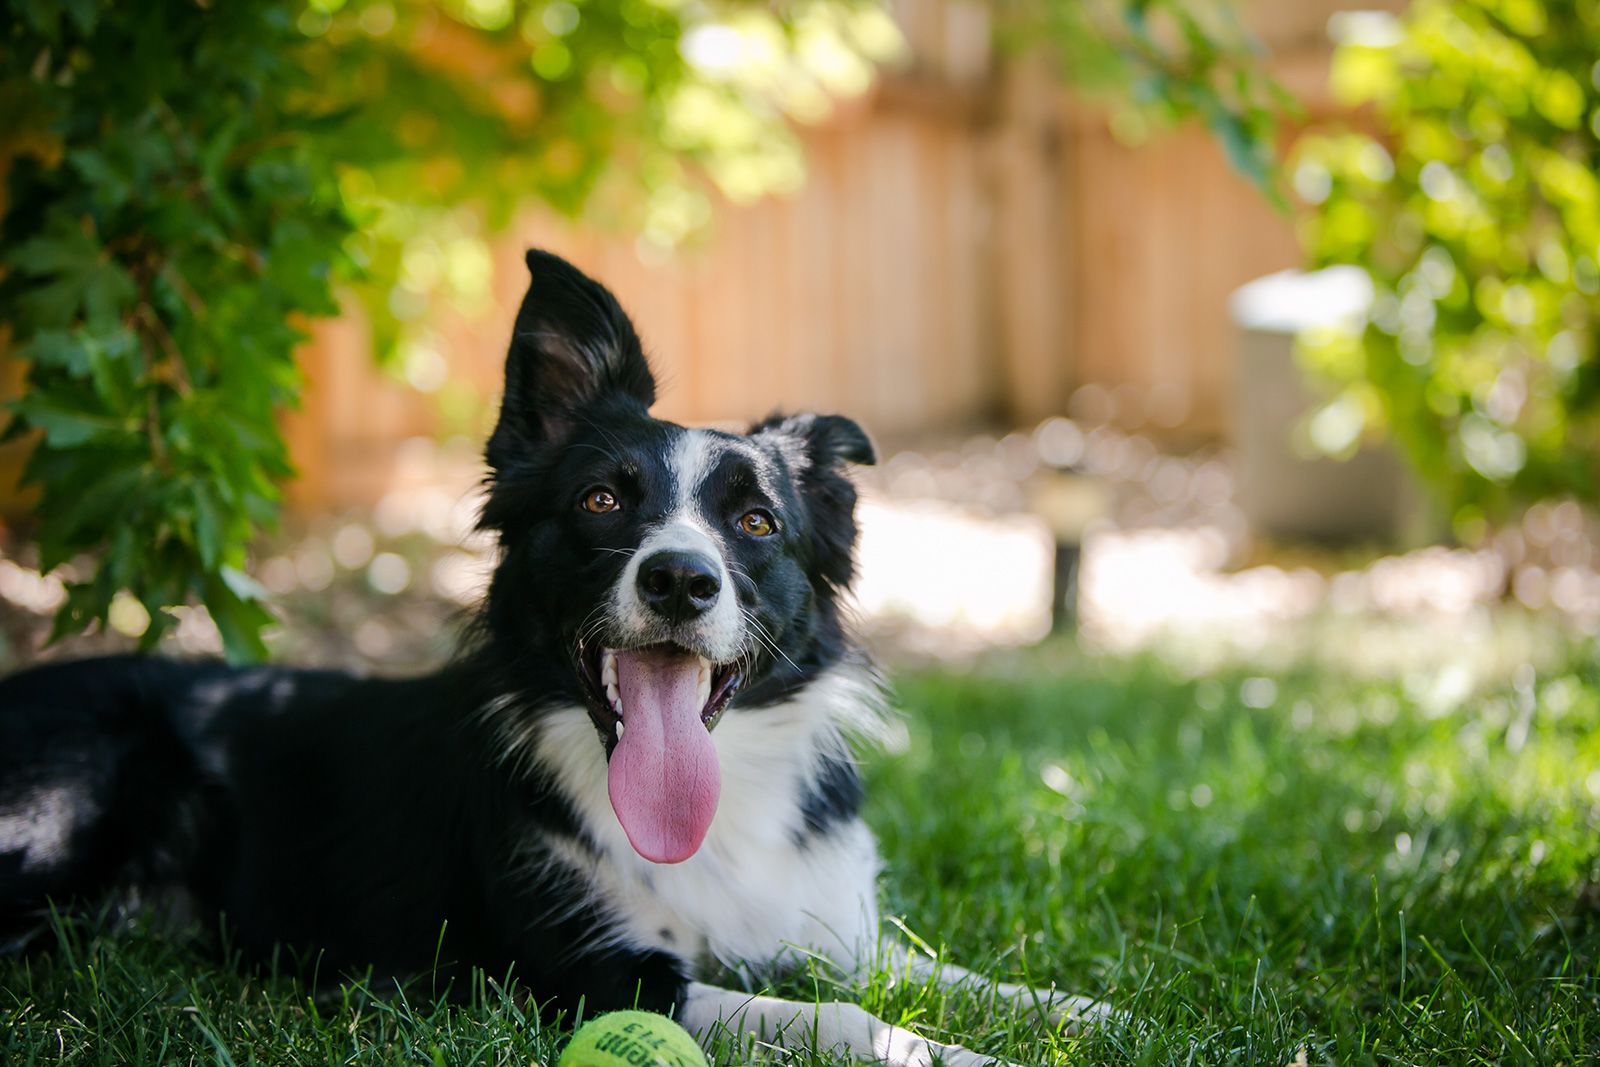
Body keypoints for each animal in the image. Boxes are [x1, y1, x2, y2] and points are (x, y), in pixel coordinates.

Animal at [0, 252, 1107, 1067]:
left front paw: (1094, 1013)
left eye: (755, 521)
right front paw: (974, 1056)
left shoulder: (831, 930)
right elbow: (845, 1018)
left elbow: (957, 973)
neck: (713, 817)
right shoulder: (586, 974)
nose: (680, 581)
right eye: (601, 501)